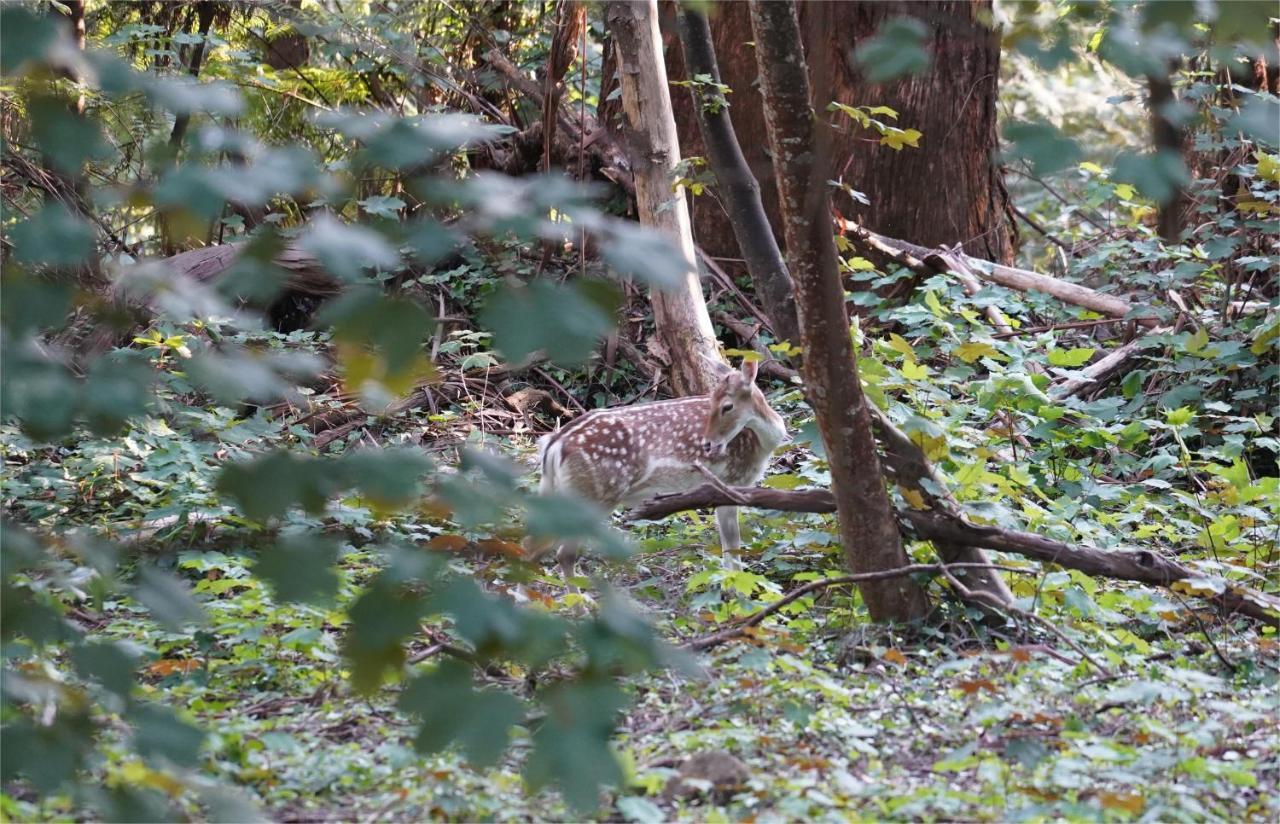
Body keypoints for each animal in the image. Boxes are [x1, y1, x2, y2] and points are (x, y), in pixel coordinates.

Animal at [529, 358, 788, 578]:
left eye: (727, 406)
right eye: (713, 402)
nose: (708, 444)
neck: (764, 442)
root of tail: (554, 445)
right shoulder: (730, 482)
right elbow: (733, 549)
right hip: (593, 494)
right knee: (560, 552)